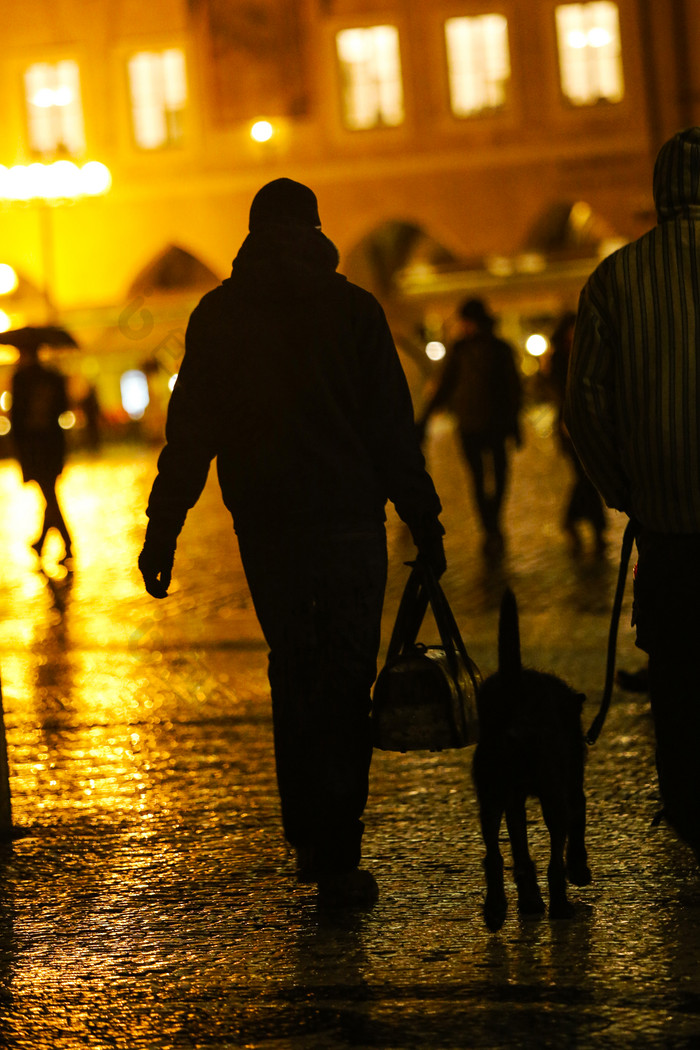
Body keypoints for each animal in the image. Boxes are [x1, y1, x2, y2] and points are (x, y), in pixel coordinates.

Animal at [476, 588, 591, 932]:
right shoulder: (571, 786)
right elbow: (577, 824)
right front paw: (579, 869)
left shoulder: (512, 802)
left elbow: (520, 850)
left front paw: (528, 899)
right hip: (554, 794)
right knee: (555, 858)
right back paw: (560, 906)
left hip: (490, 797)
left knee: (493, 855)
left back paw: (497, 909)